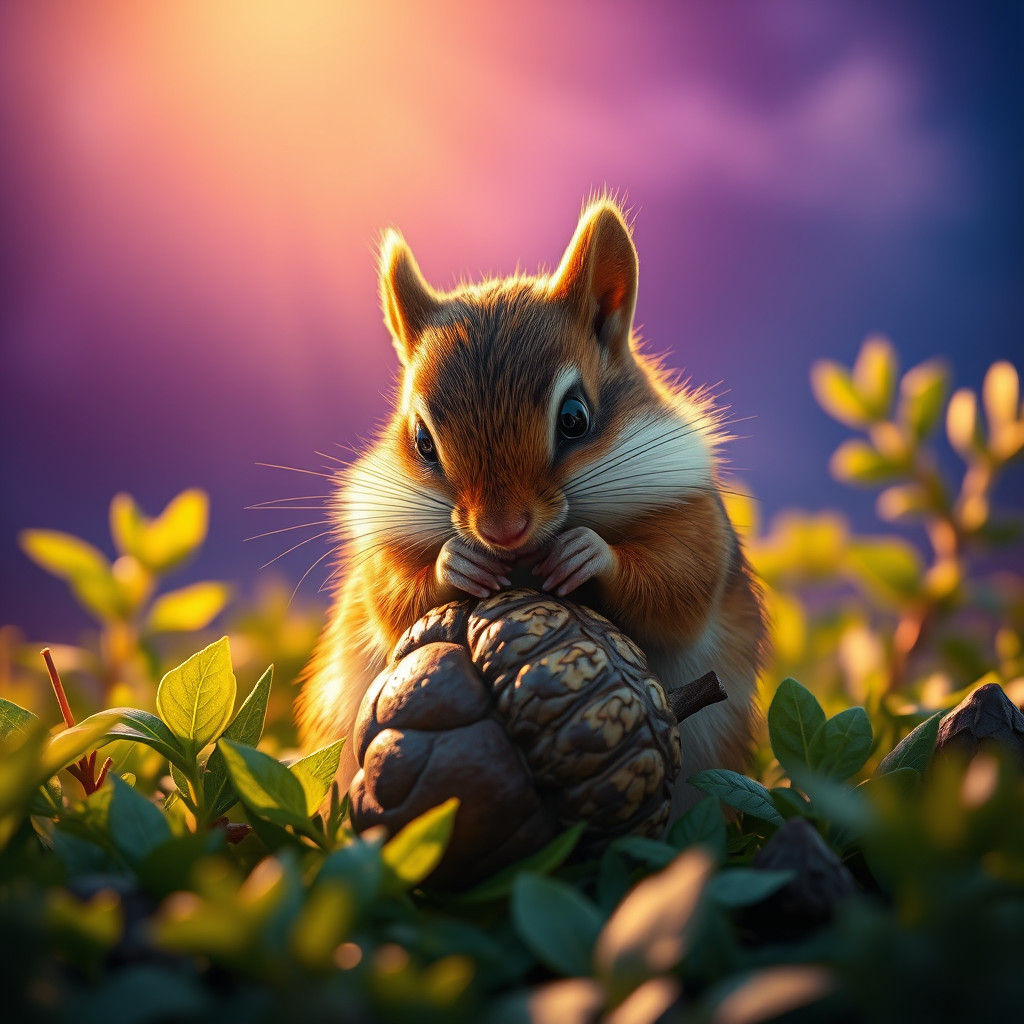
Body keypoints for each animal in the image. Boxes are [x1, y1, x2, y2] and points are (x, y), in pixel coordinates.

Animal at [298, 197, 767, 815]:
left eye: (575, 417)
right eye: (421, 440)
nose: (502, 531)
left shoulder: (694, 517)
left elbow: (678, 588)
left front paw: (588, 553)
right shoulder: (384, 542)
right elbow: (392, 598)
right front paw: (456, 562)